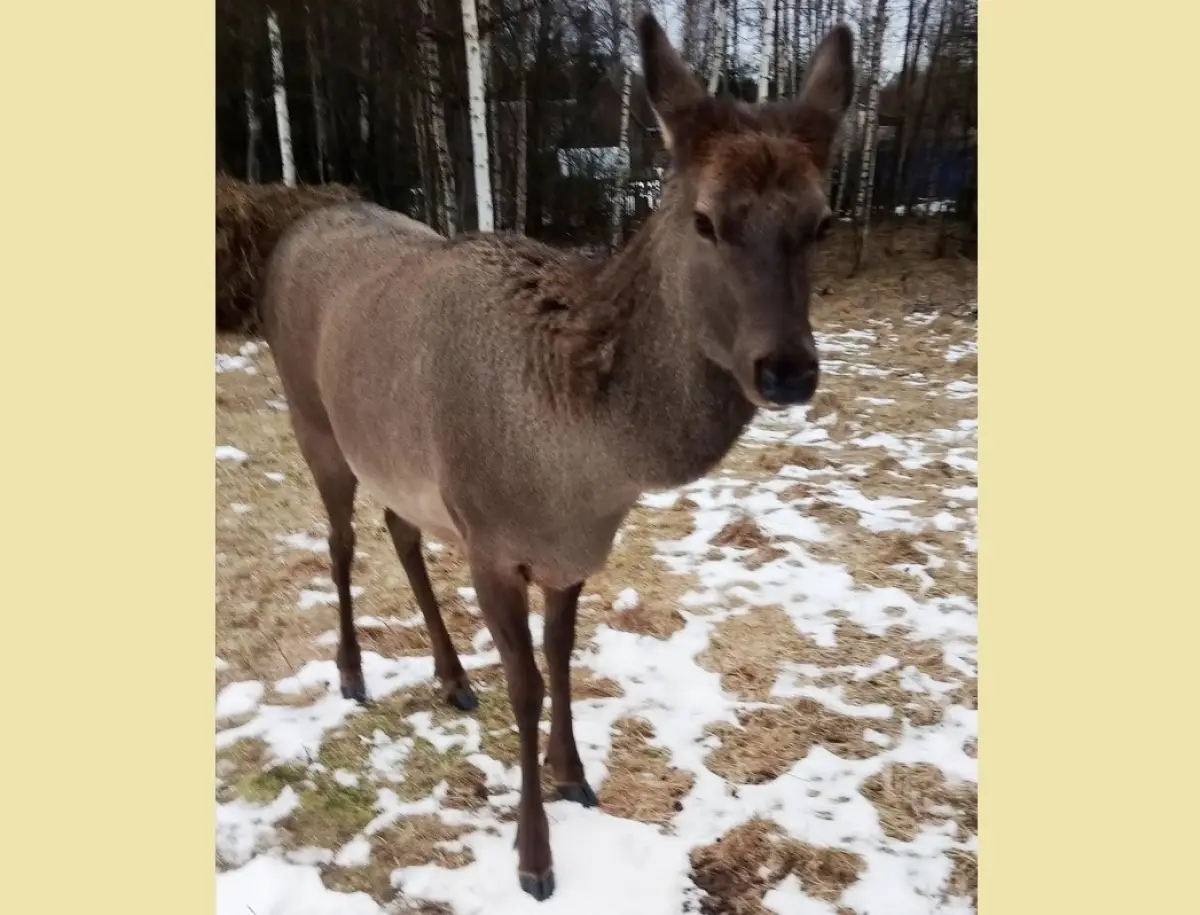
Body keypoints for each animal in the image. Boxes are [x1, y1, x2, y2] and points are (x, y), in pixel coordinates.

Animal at [260, 12, 854, 898]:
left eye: (821, 221)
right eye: (707, 219)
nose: (787, 368)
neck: (581, 473)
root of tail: (291, 229)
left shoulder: (570, 551)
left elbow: (563, 657)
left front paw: (574, 774)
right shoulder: (490, 540)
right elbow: (528, 683)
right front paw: (533, 857)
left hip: (402, 463)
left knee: (400, 531)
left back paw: (451, 676)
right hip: (312, 418)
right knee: (339, 541)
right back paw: (354, 672)